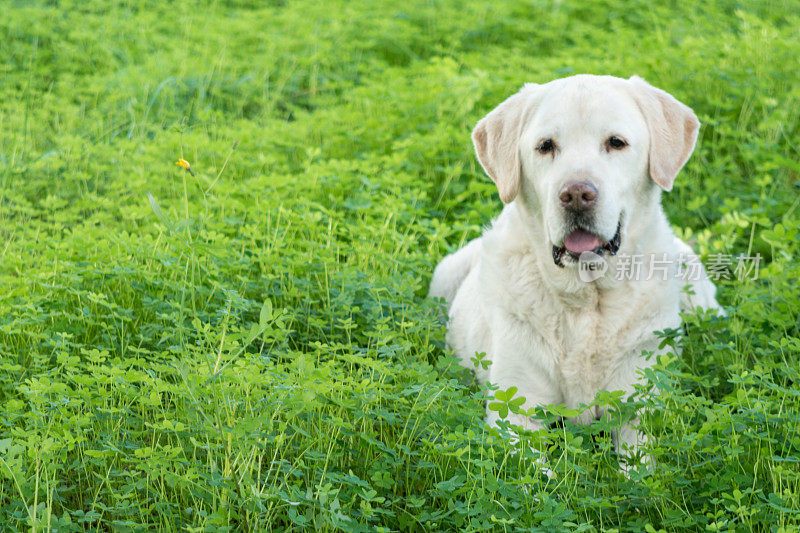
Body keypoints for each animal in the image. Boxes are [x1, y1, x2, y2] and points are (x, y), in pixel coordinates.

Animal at [428, 74, 720, 466]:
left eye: (616, 142)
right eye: (545, 146)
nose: (577, 194)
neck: (587, 300)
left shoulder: (639, 407)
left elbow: (642, 468)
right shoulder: (516, 412)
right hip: (444, 274)